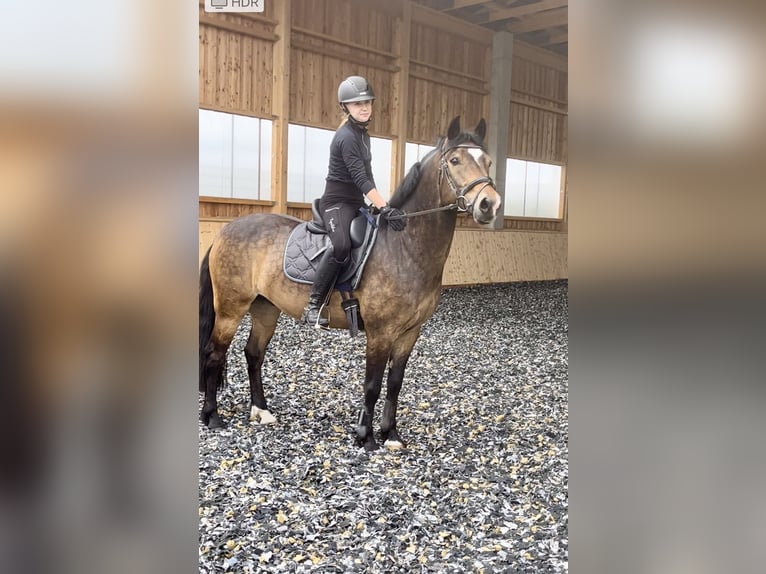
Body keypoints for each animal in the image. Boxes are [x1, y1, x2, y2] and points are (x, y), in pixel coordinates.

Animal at [199, 116, 502, 450]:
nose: (489, 204)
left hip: (265, 308)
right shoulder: (381, 332)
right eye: (455, 160)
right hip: (231, 309)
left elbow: (395, 383)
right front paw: (365, 437)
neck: (404, 247)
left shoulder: (410, 333)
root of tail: (225, 232)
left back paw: (261, 411)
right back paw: (212, 417)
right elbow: (372, 384)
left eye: (488, 161)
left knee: (253, 354)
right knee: (214, 354)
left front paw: (391, 435)